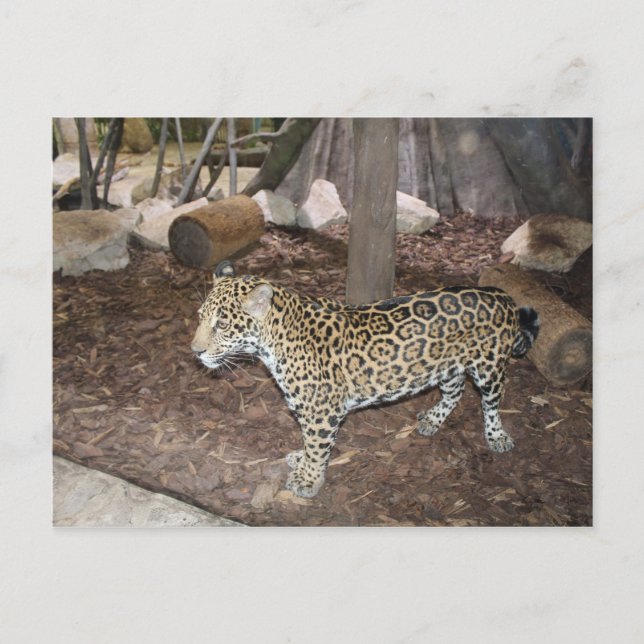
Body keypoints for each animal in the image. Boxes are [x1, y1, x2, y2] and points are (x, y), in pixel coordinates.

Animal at [191, 261, 540, 498]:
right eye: (199, 317)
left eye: (222, 324)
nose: (195, 350)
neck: (275, 340)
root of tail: (502, 294)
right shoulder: (308, 411)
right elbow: (308, 442)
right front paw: (301, 460)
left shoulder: (322, 412)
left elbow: (317, 447)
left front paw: (308, 479)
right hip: (446, 365)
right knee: (454, 393)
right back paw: (432, 419)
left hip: (489, 367)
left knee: (491, 403)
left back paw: (497, 436)